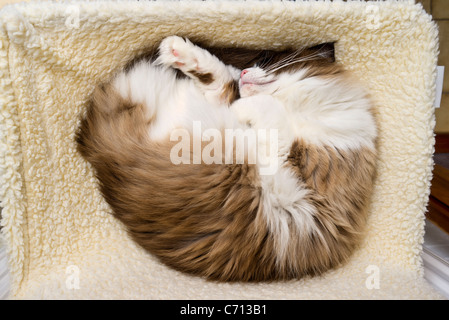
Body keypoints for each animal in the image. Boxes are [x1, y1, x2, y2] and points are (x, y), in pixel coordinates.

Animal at [75, 36, 376, 282]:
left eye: (266, 63)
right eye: (258, 61)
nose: (244, 71)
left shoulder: (296, 195)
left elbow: (263, 109)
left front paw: (243, 103)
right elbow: (247, 99)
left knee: (221, 91)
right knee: (218, 84)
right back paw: (176, 49)